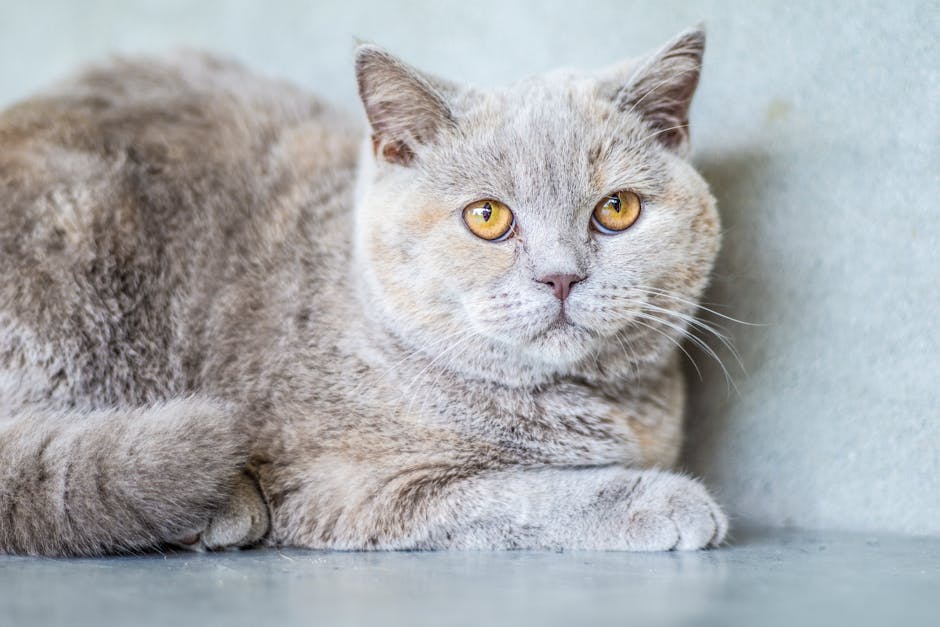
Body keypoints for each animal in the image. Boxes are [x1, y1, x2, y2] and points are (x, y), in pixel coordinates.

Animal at [0, 25, 728, 556]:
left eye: (617, 210)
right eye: (487, 217)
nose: (561, 275)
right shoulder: (351, 486)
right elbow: (522, 494)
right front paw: (662, 499)